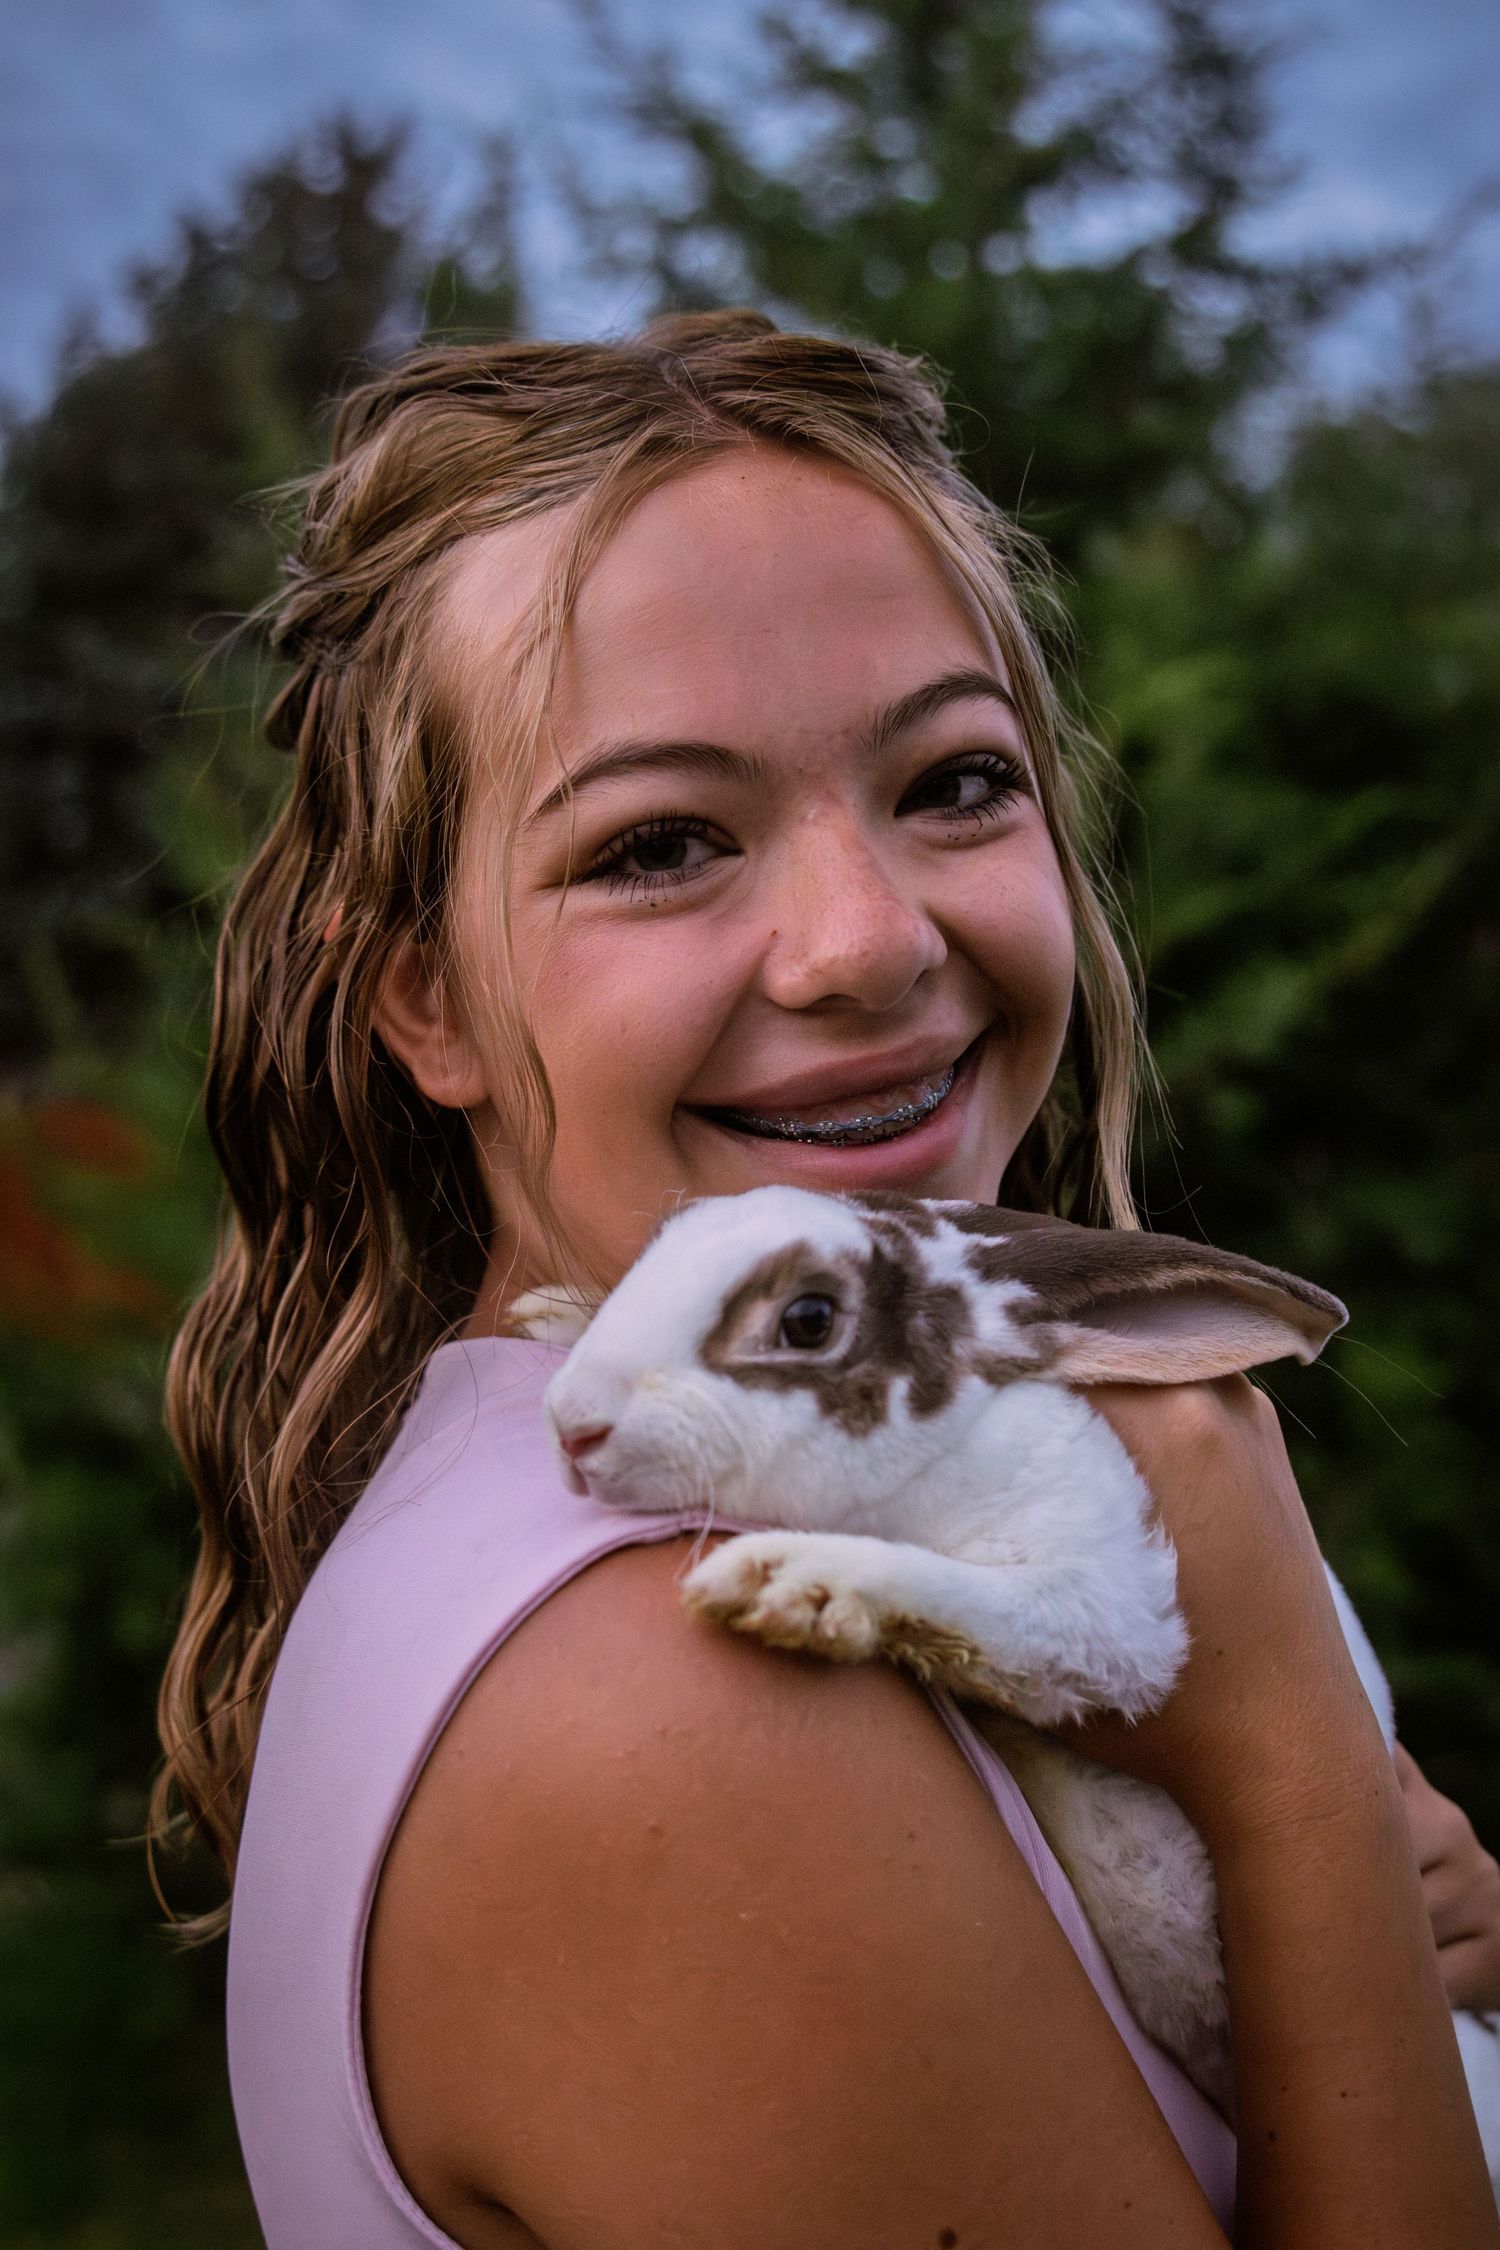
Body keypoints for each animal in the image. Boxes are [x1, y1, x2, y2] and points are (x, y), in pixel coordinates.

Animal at [539, 1186, 1500, 2168]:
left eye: (808, 1320)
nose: (572, 1424)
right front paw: (550, 1309)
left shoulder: (1109, 1609)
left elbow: (971, 1604)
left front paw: (789, 1580)